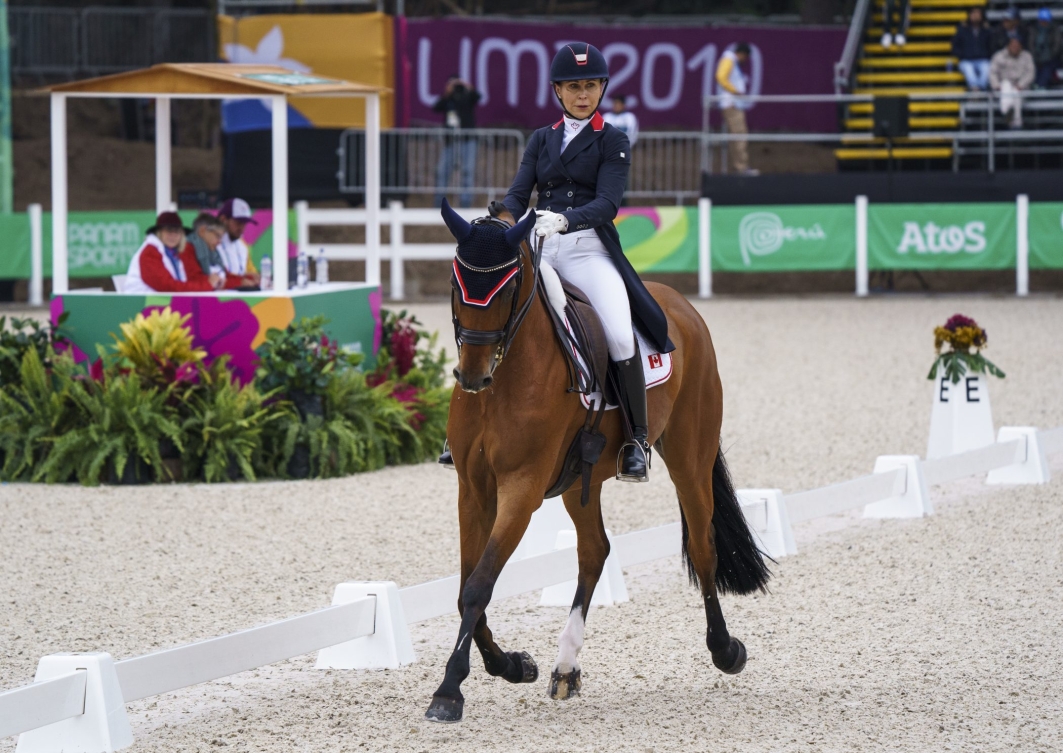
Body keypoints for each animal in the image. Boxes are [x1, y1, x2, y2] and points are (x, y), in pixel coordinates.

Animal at [425, 199, 773, 723]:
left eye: (508, 285)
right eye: (455, 279)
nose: (472, 376)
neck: (506, 378)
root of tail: (681, 305)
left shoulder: (522, 489)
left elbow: (480, 583)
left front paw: (449, 691)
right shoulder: (474, 488)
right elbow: (467, 586)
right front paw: (513, 665)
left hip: (689, 458)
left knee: (703, 546)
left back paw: (725, 650)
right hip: (577, 483)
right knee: (594, 551)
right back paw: (566, 667)